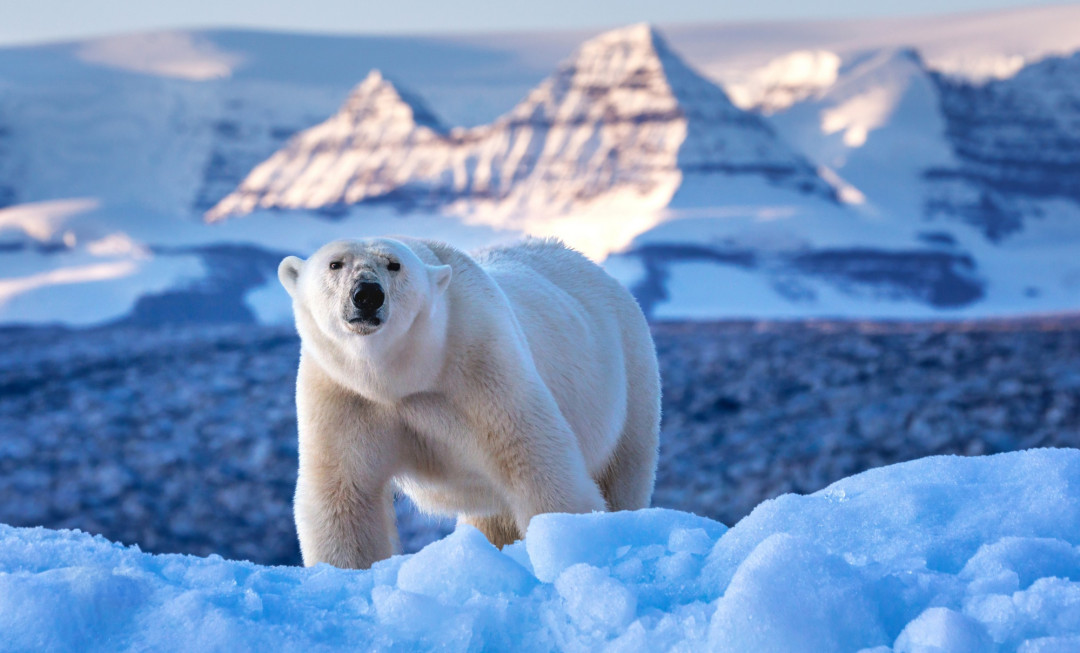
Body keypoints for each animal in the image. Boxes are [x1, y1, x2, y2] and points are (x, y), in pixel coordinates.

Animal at [277, 236, 660, 569]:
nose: (367, 294)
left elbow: (537, 464)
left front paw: (568, 538)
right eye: (335, 263)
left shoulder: (482, 368)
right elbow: (344, 495)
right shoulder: (343, 394)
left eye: (394, 264)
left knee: (624, 470)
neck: (400, 378)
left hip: (630, 376)